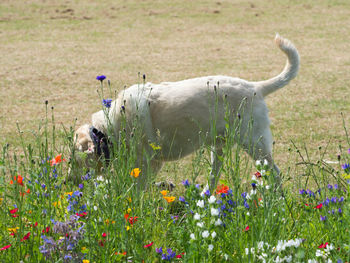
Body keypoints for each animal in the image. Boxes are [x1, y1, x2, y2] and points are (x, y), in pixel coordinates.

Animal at [73, 34, 298, 190]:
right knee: (214, 177)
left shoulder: (146, 162)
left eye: (74, 158)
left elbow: (135, 189)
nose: (68, 182)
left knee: (275, 174)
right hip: (219, 148)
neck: (106, 131)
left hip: (255, 145)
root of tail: (256, 87)